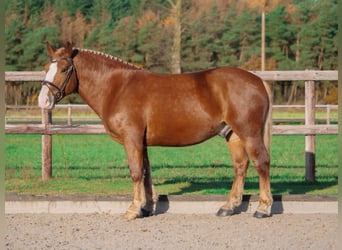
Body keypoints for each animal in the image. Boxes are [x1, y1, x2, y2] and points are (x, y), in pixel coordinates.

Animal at [38, 42, 272, 219]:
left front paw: (133, 209)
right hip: (233, 135)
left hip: (249, 133)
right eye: (45, 68)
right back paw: (228, 207)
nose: (43, 100)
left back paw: (263, 208)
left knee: (261, 162)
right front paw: (148, 206)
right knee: (240, 166)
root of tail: (258, 81)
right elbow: (146, 172)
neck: (117, 87)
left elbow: (135, 172)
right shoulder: (141, 142)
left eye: (64, 69)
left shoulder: (131, 139)